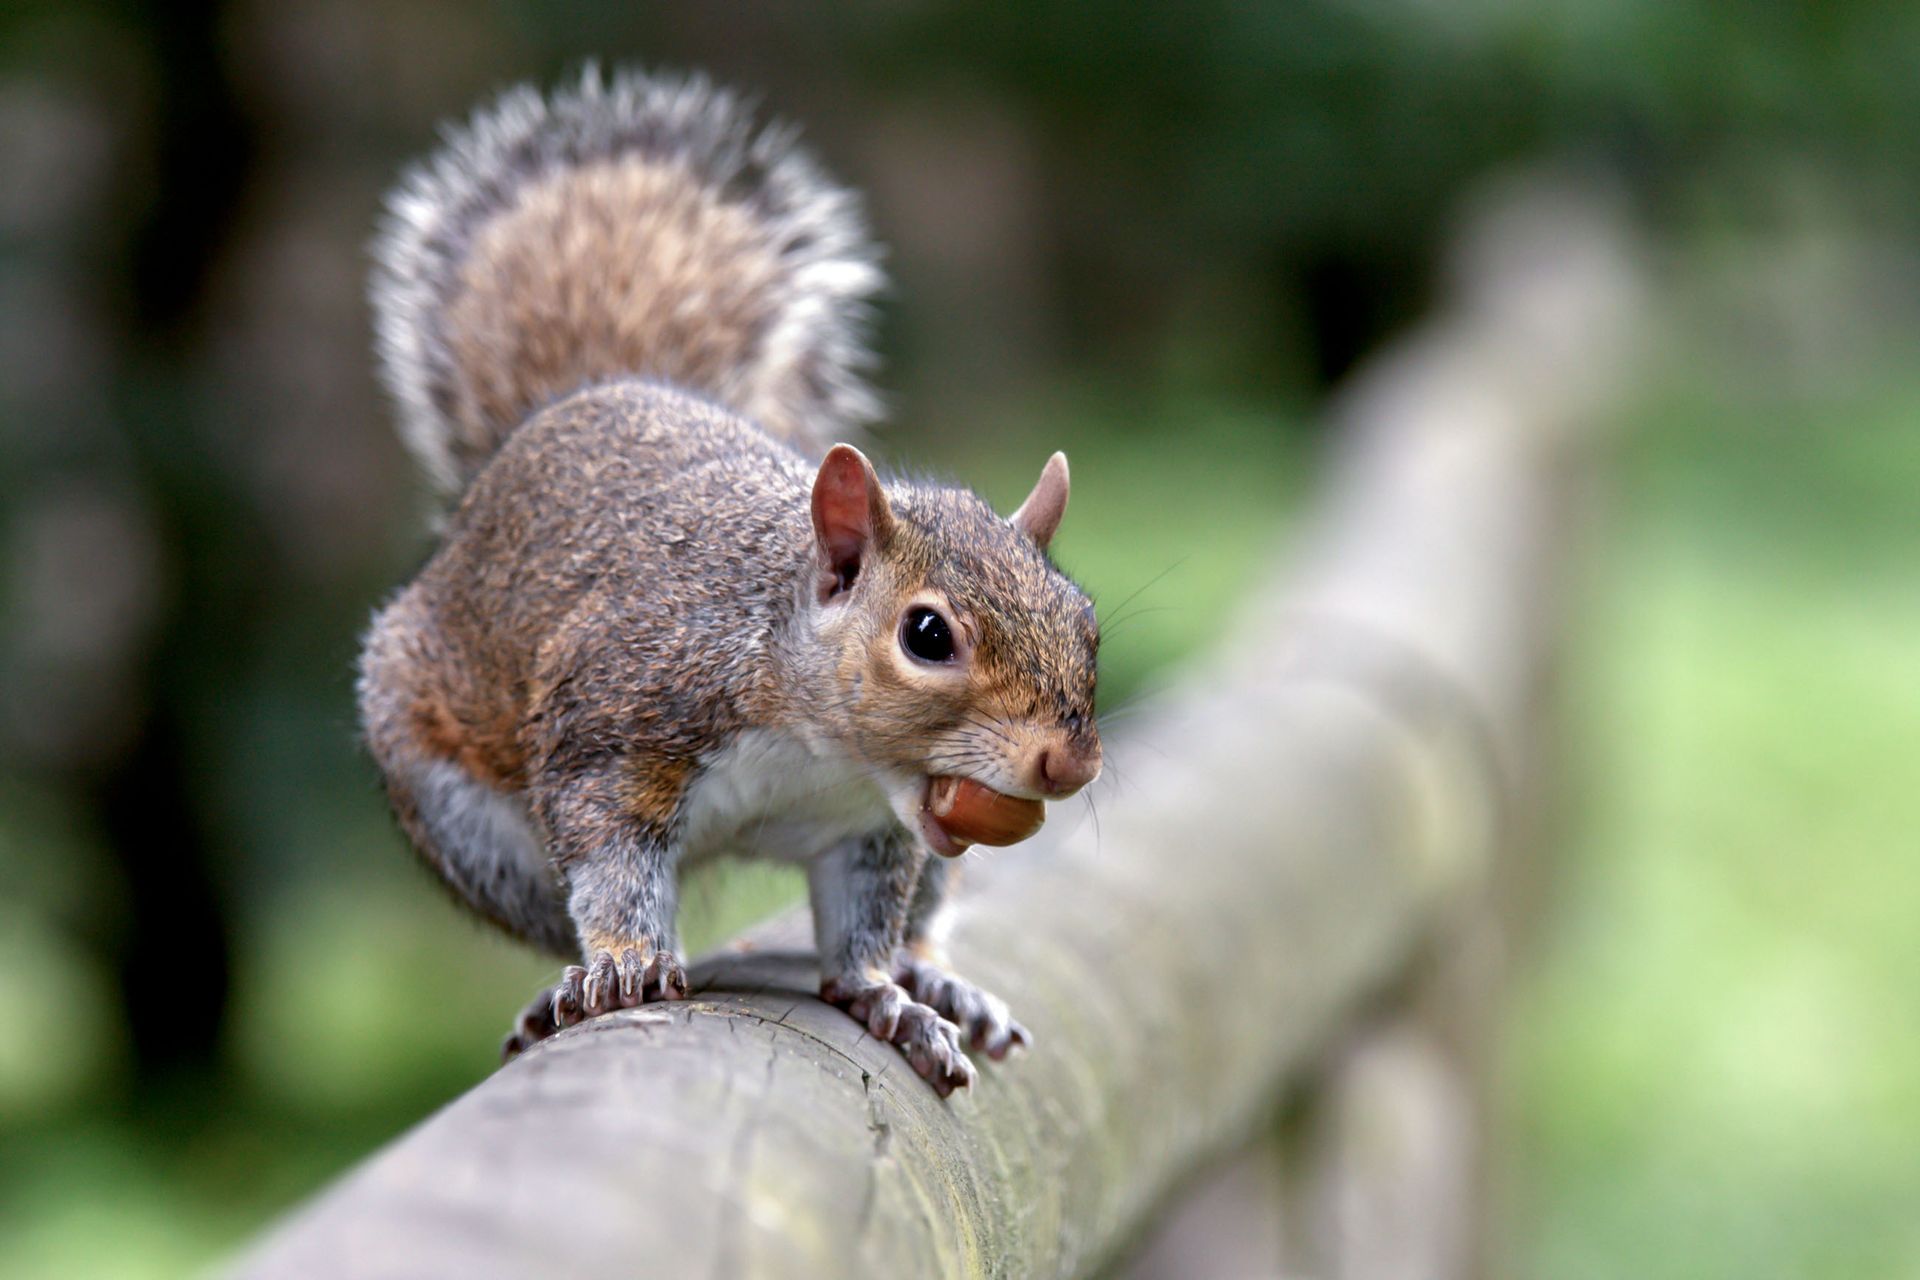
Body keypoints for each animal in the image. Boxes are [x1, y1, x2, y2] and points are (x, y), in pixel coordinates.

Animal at [356, 67, 1101, 1095]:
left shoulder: (871, 831)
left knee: (916, 916)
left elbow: (864, 925)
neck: (819, 748)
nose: (1068, 764)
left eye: (1087, 622)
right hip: (469, 822)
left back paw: (934, 979)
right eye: (927, 636)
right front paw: (626, 962)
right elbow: (610, 858)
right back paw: (565, 990)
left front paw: (883, 995)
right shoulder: (616, 721)